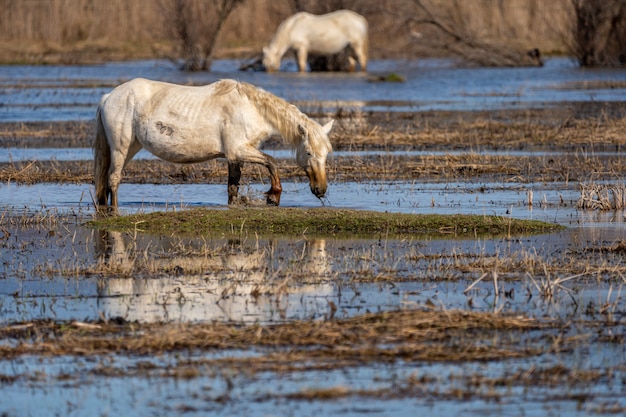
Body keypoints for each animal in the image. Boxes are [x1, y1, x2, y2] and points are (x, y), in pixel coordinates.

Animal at [92, 77, 332, 210]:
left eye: (326, 154)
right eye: (309, 153)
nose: (320, 190)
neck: (251, 108)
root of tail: (108, 97)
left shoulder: (235, 158)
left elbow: (232, 188)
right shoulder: (238, 150)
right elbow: (272, 162)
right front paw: (274, 195)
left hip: (131, 147)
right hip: (121, 148)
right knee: (113, 180)